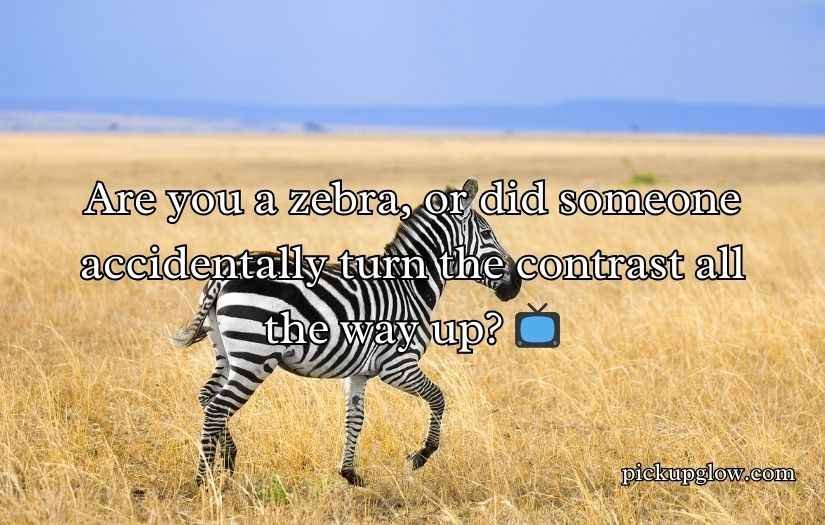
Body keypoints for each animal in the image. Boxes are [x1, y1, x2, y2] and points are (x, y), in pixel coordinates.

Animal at [171, 178, 522, 486]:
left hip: (228, 352)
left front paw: (349, 473)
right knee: (217, 408)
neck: (409, 285)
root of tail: (224, 275)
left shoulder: (359, 372)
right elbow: (438, 397)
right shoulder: (397, 365)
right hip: (254, 356)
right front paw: (420, 456)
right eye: (487, 233)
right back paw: (204, 481)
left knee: (208, 397)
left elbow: (356, 418)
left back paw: (227, 460)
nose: (516, 285)